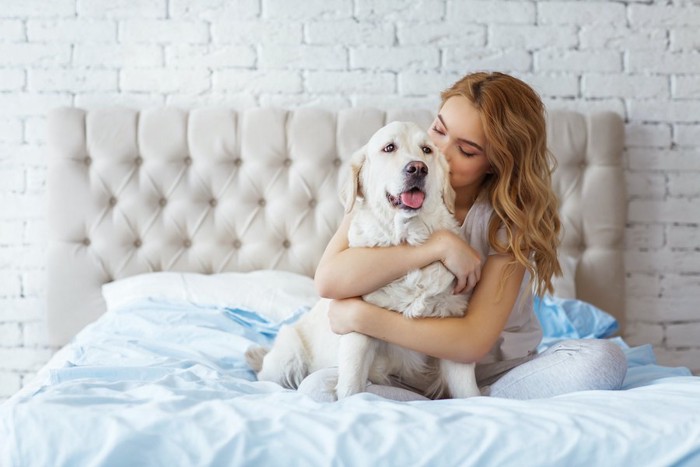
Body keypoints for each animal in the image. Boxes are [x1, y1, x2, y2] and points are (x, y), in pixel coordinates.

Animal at [246, 122, 482, 400]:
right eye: (389, 148)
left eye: (427, 150)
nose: (418, 168)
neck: (409, 241)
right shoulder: (356, 326)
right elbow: (351, 386)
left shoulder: (454, 329)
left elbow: (469, 392)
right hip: (288, 356)